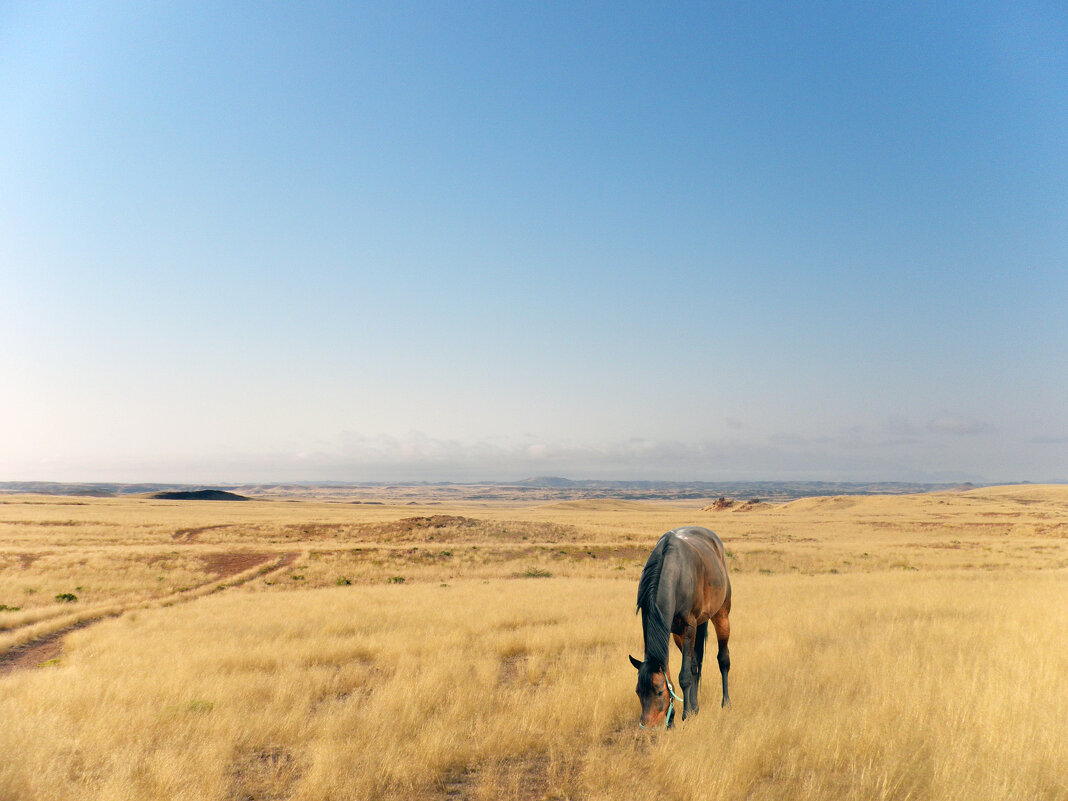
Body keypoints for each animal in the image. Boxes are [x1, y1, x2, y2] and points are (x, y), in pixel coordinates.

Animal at [627, 527, 730, 726]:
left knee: (723, 659)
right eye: (637, 691)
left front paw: (685, 715)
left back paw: (726, 703)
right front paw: (677, 717)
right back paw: (696, 708)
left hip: (722, 615)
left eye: (659, 692)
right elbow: (676, 670)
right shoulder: (670, 630)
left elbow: (684, 676)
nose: (648, 726)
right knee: (696, 664)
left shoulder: (689, 627)